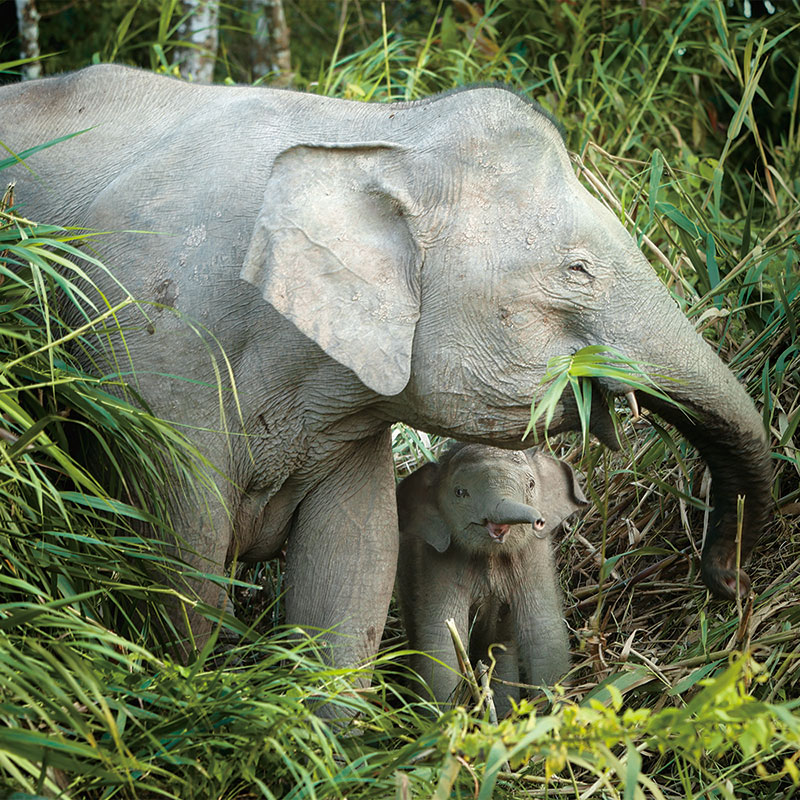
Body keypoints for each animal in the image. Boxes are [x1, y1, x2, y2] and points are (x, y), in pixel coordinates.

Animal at [0, 62, 776, 664]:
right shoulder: (149, 371)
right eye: (579, 270)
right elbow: (177, 579)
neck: (376, 134)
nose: (731, 588)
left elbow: (351, 579)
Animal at [396, 444, 588, 712]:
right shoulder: (438, 561)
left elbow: (544, 631)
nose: (539, 520)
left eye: (531, 484)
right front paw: (446, 719)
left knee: (500, 648)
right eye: (460, 492)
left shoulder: (534, 556)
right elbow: (440, 640)